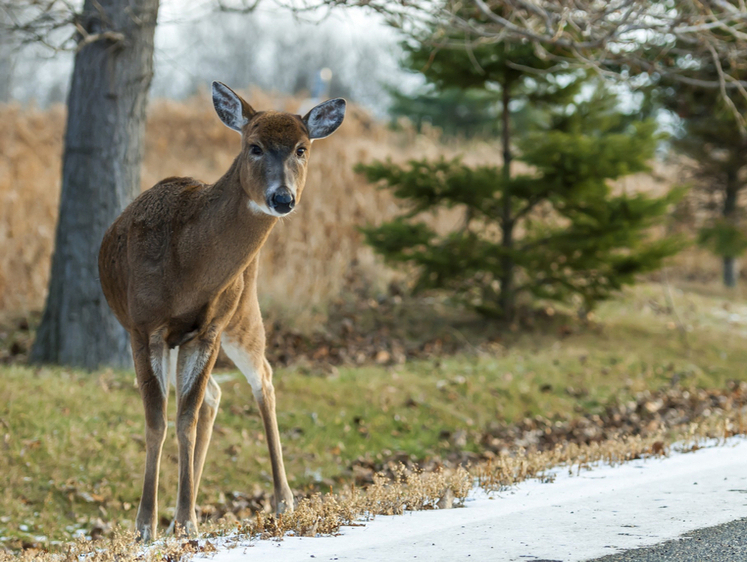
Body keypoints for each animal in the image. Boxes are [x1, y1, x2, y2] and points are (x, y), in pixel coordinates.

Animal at [98, 80, 346, 540]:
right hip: (183, 338)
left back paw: (283, 500)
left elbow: (184, 417)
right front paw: (147, 525)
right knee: (213, 395)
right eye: (254, 146)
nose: (282, 197)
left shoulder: (210, 328)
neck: (185, 266)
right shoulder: (143, 328)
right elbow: (159, 420)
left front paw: (185, 520)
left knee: (260, 378)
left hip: (242, 313)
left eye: (302, 148)